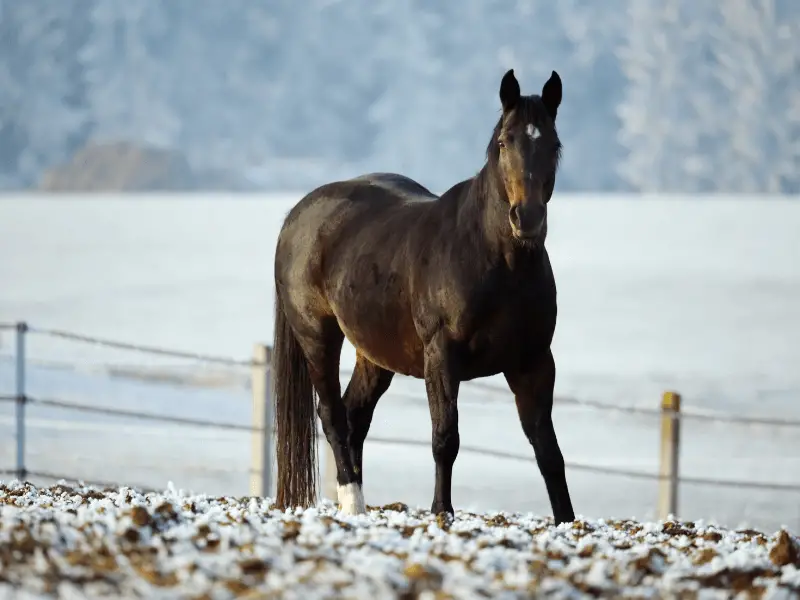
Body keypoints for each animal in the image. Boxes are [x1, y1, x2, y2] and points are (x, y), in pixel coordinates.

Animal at [274, 67, 576, 524]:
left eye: (553, 143)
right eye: (505, 142)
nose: (527, 219)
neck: (495, 260)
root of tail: (297, 215)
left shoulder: (534, 361)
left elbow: (548, 449)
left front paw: (567, 521)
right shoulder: (441, 357)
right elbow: (444, 438)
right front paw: (441, 512)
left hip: (375, 354)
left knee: (354, 415)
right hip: (317, 338)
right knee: (332, 415)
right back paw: (353, 503)